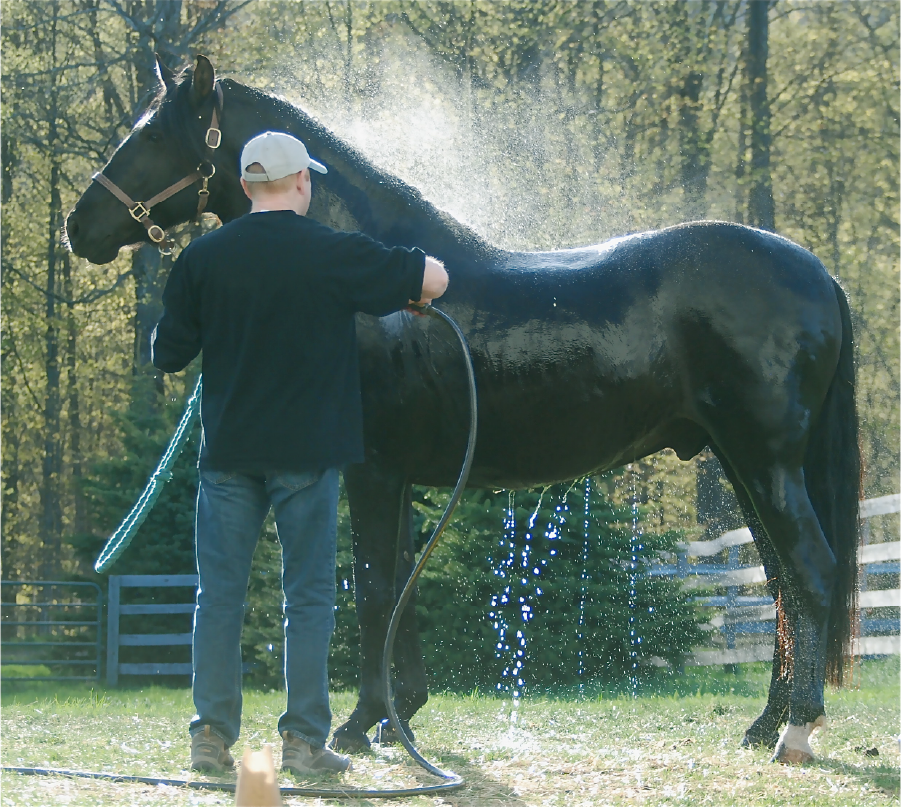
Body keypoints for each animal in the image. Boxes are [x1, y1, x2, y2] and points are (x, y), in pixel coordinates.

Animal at [65, 56, 860, 765]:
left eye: (152, 137)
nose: (80, 227)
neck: (374, 283)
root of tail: (817, 271)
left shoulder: (374, 471)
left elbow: (373, 589)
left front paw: (359, 725)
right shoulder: (403, 479)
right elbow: (398, 587)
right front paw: (396, 719)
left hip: (764, 460)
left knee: (812, 572)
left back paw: (796, 731)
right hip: (741, 462)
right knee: (782, 588)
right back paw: (764, 724)